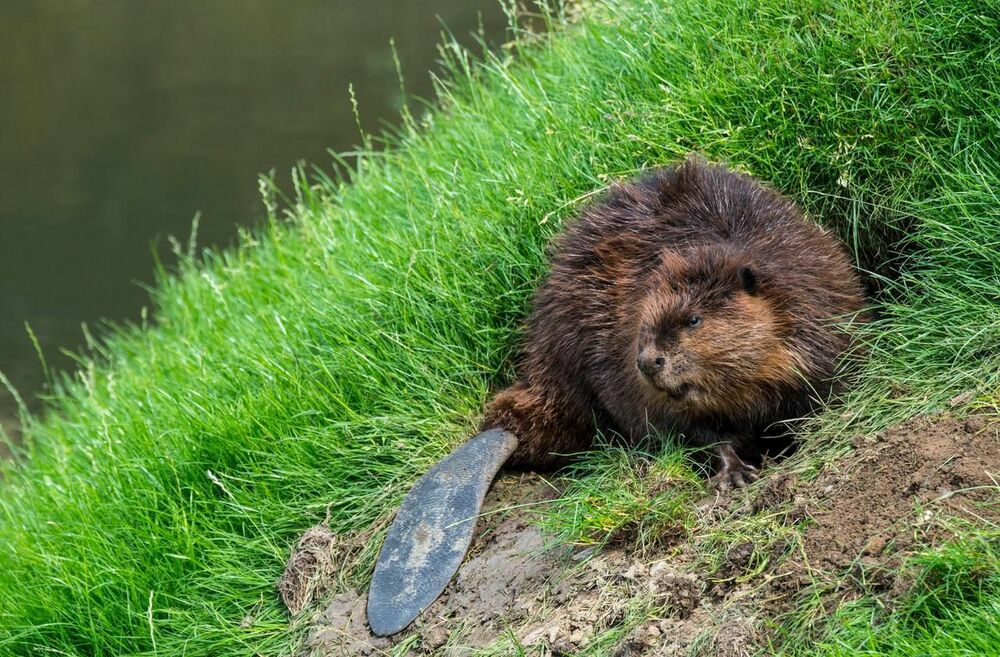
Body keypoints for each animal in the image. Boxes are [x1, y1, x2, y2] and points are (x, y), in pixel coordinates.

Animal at [368, 156, 868, 632]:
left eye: (693, 320)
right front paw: (735, 475)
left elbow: (820, 388)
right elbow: (695, 430)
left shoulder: (818, 312)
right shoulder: (635, 372)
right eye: (649, 317)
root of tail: (506, 426)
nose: (648, 360)